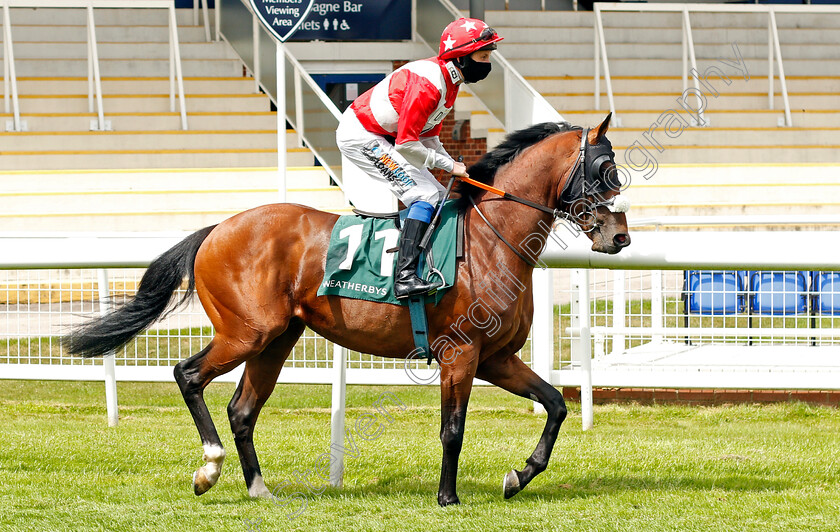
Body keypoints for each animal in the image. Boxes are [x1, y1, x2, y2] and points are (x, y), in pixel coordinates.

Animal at [65, 113, 632, 508]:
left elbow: (555, 405)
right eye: (604, 170)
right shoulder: (461, 353)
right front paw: (448, 497)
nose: (619, 237)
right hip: (247, 333)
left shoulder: (496, 357)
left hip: (277, 340)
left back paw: (259, 488)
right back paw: (209, 468)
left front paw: (518, 476)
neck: (493, 240)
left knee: (242, 409)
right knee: (187, 375)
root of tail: (217, 229)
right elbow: (453, 429)